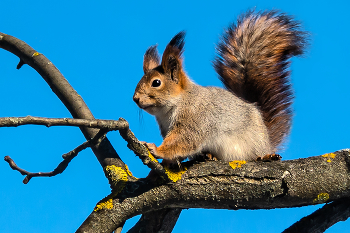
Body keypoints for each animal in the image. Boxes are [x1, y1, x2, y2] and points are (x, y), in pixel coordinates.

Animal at [133, 10, 308, 162]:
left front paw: (156, 149)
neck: (176, 103)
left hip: (255, 142)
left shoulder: (195, 120)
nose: (135, 98)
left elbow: (183, 141)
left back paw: (265, 156)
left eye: (156, 83)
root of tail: (267, 140)